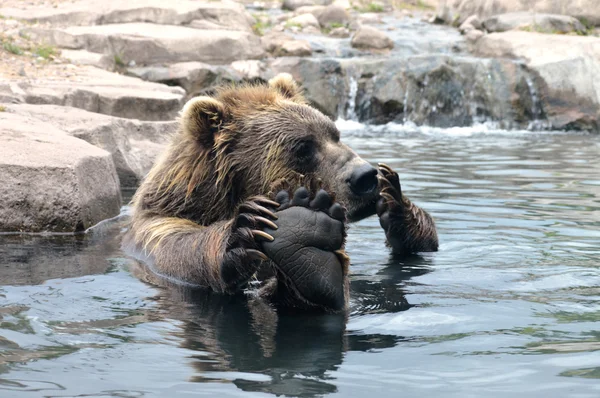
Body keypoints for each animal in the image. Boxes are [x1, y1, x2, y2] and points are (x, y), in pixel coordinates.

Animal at [124, 73, 438, 312]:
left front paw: (393, 199)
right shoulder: (159, 229)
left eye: (334, 134)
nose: (365, 176)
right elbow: (186, 248)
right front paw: (269, 229)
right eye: (303, 148)